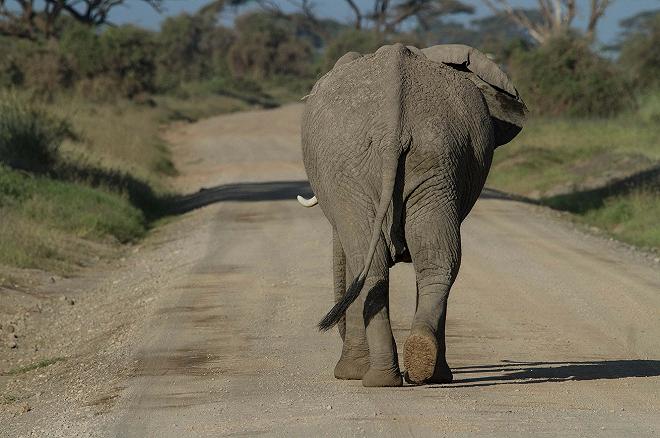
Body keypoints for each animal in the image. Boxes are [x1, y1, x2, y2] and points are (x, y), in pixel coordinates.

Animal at [298, 43, 527, 387]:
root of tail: (393, 126)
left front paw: (348, 374)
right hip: (436, 158)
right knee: (436, 259)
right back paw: (424, 368)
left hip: (358, 169)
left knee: (371, 263)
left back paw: (377, 378)